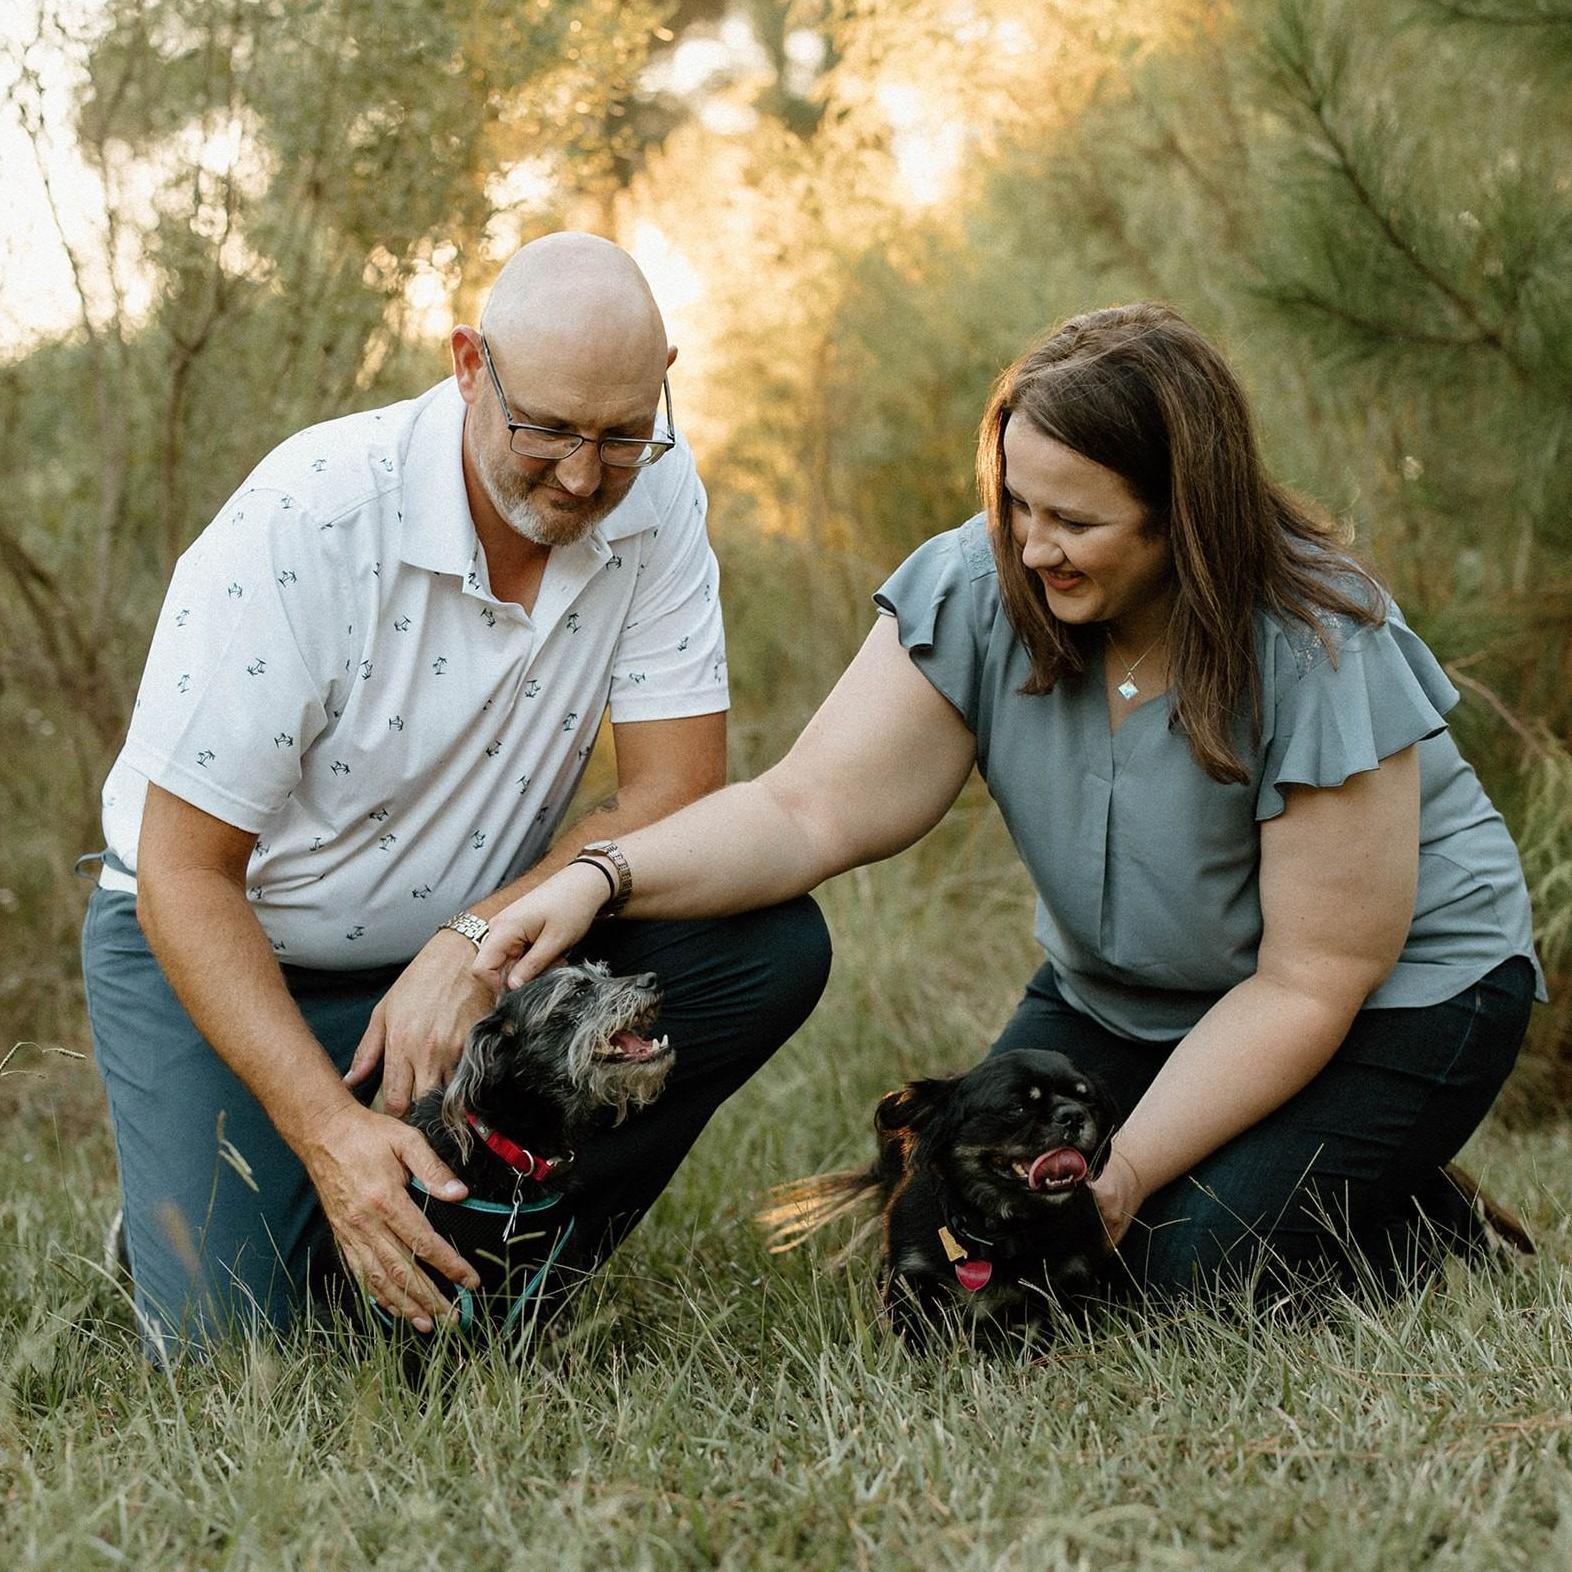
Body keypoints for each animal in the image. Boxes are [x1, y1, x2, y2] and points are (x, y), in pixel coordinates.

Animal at [760, 1050, 1119, 1345]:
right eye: (1017, 1107)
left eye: (1088, 1101)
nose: (1074, 1114)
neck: (998, 1231)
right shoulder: (911, 1277)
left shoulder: (1069, 1281)